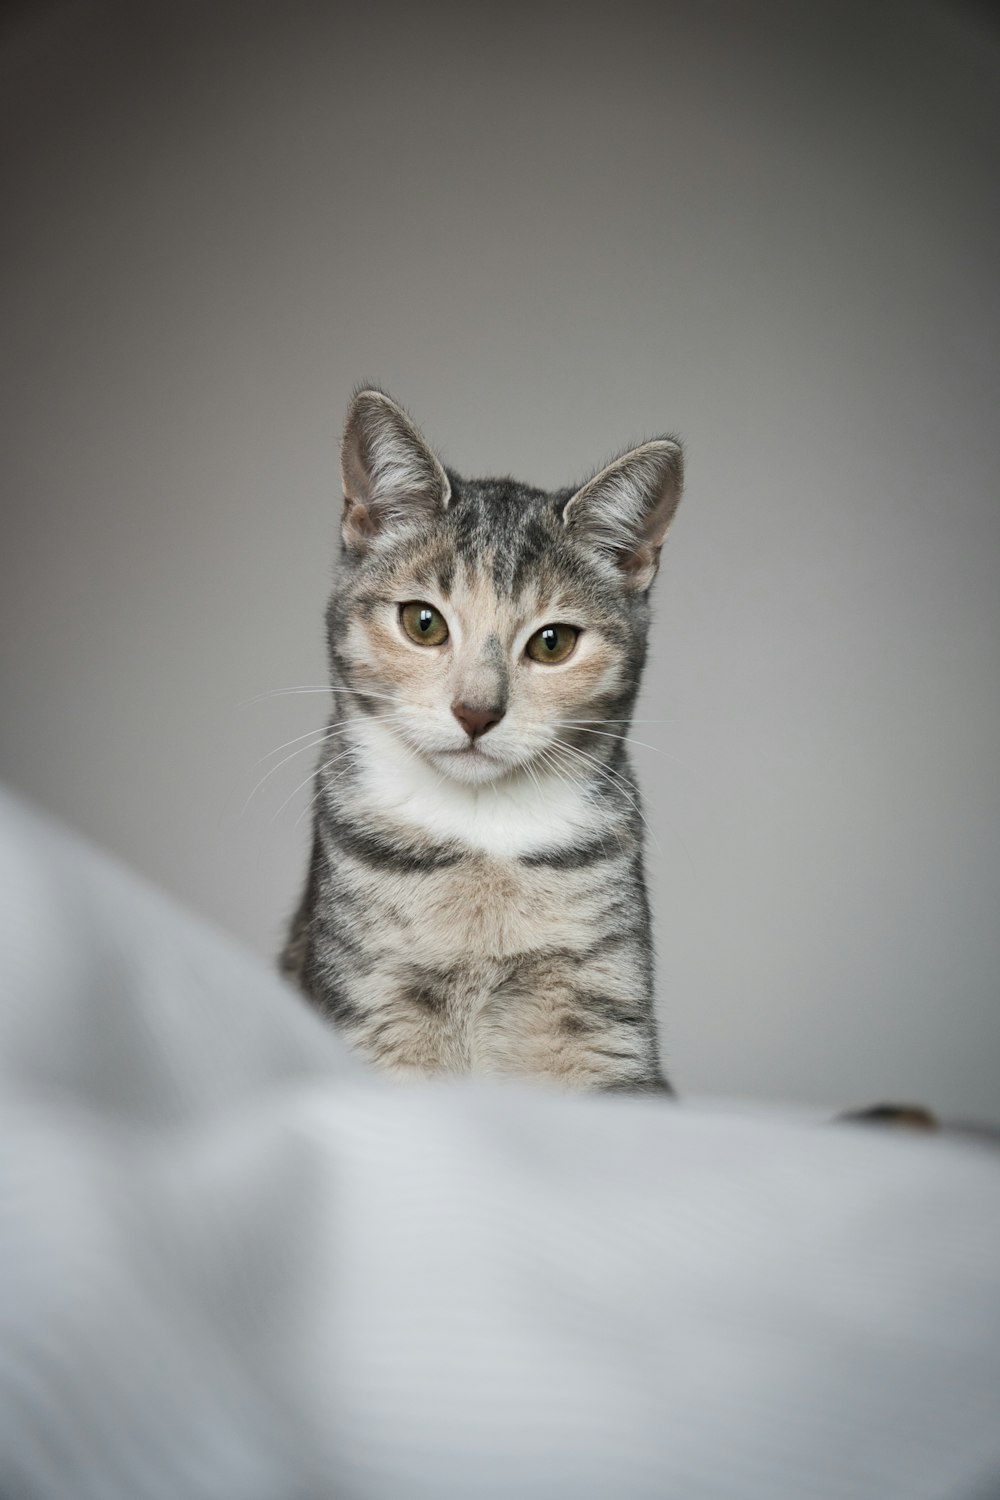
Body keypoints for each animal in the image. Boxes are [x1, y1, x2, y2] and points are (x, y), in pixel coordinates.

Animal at [283, 387, 689, 1092]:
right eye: (423, 623)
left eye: (552, 642)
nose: (476, 712)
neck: (480, 837)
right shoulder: (368, 1008)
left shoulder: (606, 1019)